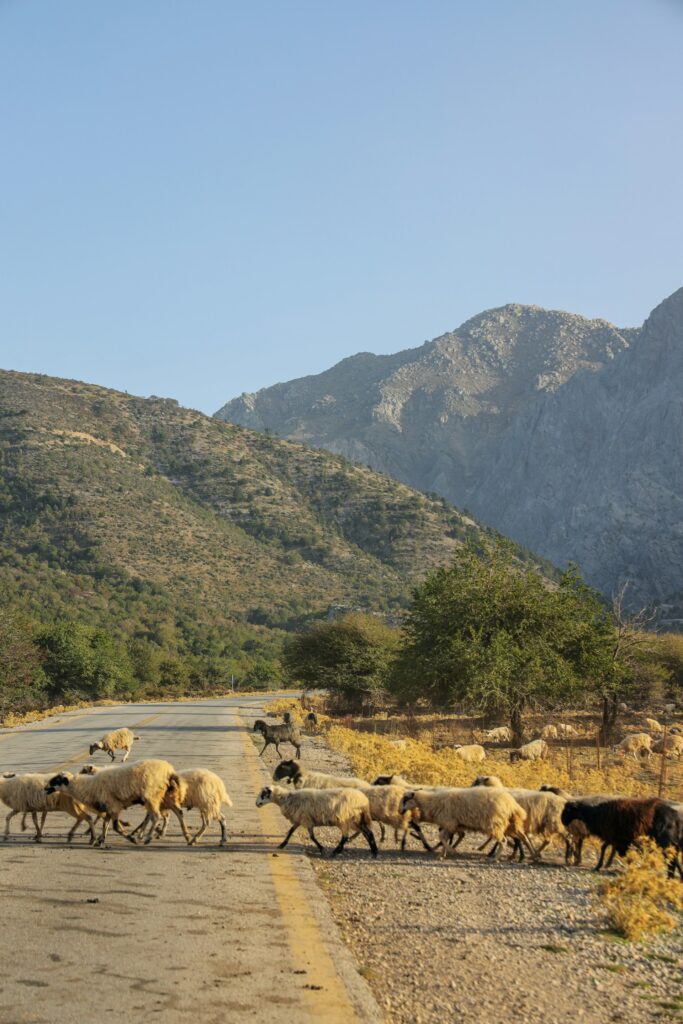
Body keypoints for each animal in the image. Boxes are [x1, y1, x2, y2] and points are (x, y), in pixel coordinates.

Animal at [44, 757, 179, 843]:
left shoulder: (113, 806)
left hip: (151, 796)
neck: (88, 787)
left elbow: (115, 827)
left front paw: (131, 839)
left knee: (156, 816)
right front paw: (101, 840)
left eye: (56, 780)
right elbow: (106, 823)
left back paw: (147, 837)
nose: (45, 788)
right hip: (158, 797)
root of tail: (169, 769)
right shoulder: (108, 807)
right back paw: (155, 833)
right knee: (161, 815)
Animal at [397, 786, 536, 860]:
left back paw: (496, 858)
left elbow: (442, 838)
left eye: (405, 799)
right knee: (523, 837)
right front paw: (442, 854)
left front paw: (451, 851)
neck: (431, 802)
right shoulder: (450, 825)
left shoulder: (448, 823)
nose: (399, 811)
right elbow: (445, 839)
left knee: (504, 841)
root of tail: (511, 804)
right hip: (511, 823)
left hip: (496, 824)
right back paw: (534, 855)